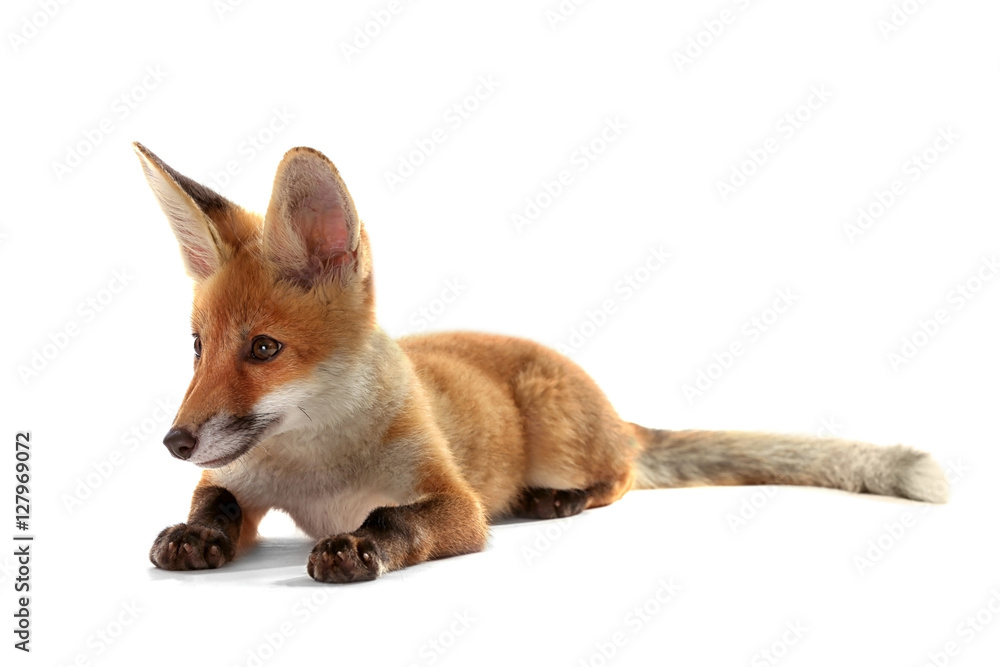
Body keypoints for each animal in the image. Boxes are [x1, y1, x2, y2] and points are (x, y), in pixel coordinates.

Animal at [135, 142, 949, 583]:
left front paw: (360, 543)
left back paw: (559, 499)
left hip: (562, 439)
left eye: (264, 349)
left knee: (623, 473)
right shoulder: (234, 475)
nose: (173, 441)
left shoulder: (456, 504)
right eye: (198, 346)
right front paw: (196, 536)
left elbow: (397, 518)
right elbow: (215, 503)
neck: (314, 476)